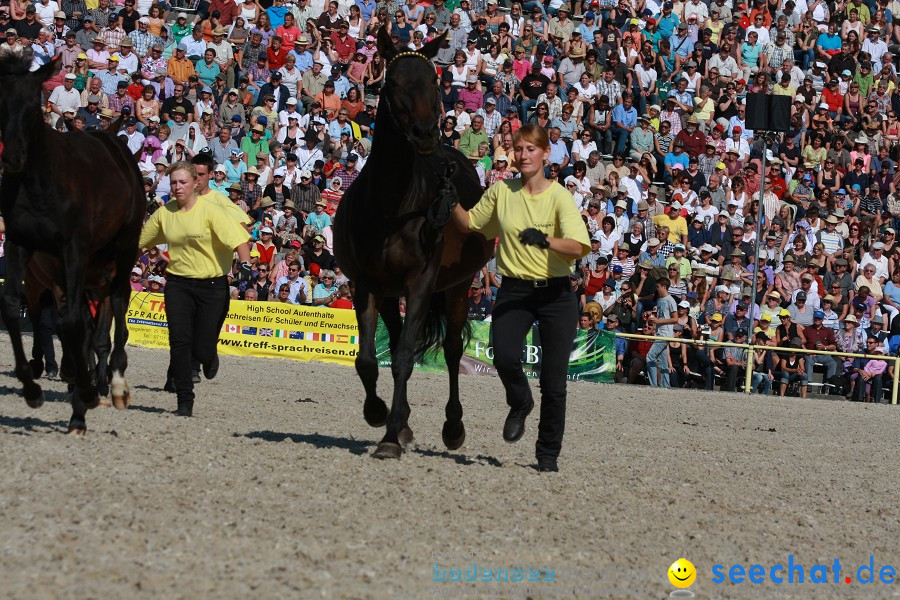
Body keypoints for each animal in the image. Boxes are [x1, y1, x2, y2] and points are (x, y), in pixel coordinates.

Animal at [0, 55, 143, 432]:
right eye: (0, 102)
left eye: (32, 105)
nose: (12, 156)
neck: (40, 182)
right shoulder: (21, 244)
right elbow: (14, 308)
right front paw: (35, 387)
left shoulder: (75, 252)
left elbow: (84, 328)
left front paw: (91, 392)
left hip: (125, 248)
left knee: (118, 301)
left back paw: (113, 384)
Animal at [336, 28, 496, 460]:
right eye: (393, 82)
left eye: (432, 81)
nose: (426, 133)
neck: (391, 207)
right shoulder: (366, 284)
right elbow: (369, 359)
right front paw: (380, 414)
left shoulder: (422, 282)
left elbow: (405, 356)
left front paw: (391, 437)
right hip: (392, 292)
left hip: (458, 286)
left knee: (454, 349)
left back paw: (452, 427)